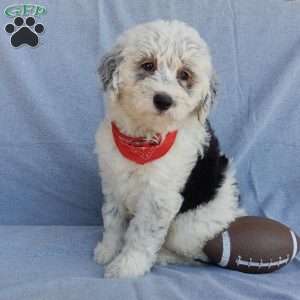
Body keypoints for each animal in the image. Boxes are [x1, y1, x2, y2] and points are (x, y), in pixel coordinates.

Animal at [95, 19, 245, 278]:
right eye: (148, 65)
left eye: (184, 74)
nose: (164, 100)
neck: (143, 139)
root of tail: (235, 212)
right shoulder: (113, 181)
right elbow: (113, 220)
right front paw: (108, 250)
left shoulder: (159, 198)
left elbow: (142, 234)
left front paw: (127, 265)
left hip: (188, 229)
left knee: (198, 255)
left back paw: (163, 256)